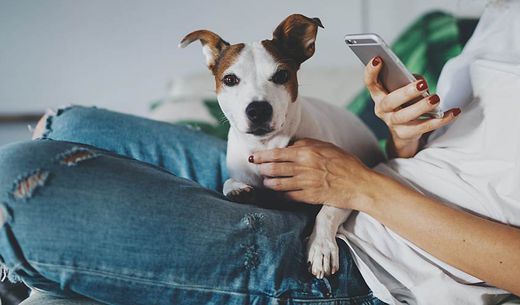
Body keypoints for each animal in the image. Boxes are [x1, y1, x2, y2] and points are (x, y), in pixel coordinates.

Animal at [181, 14, 384, 278]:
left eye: (281, 76)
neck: (266, 146)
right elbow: (228, 182)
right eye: (230, 79)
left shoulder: (345, 187)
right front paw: (237, 188)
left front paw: (321, 247)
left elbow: (327, 212)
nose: (258, 109)